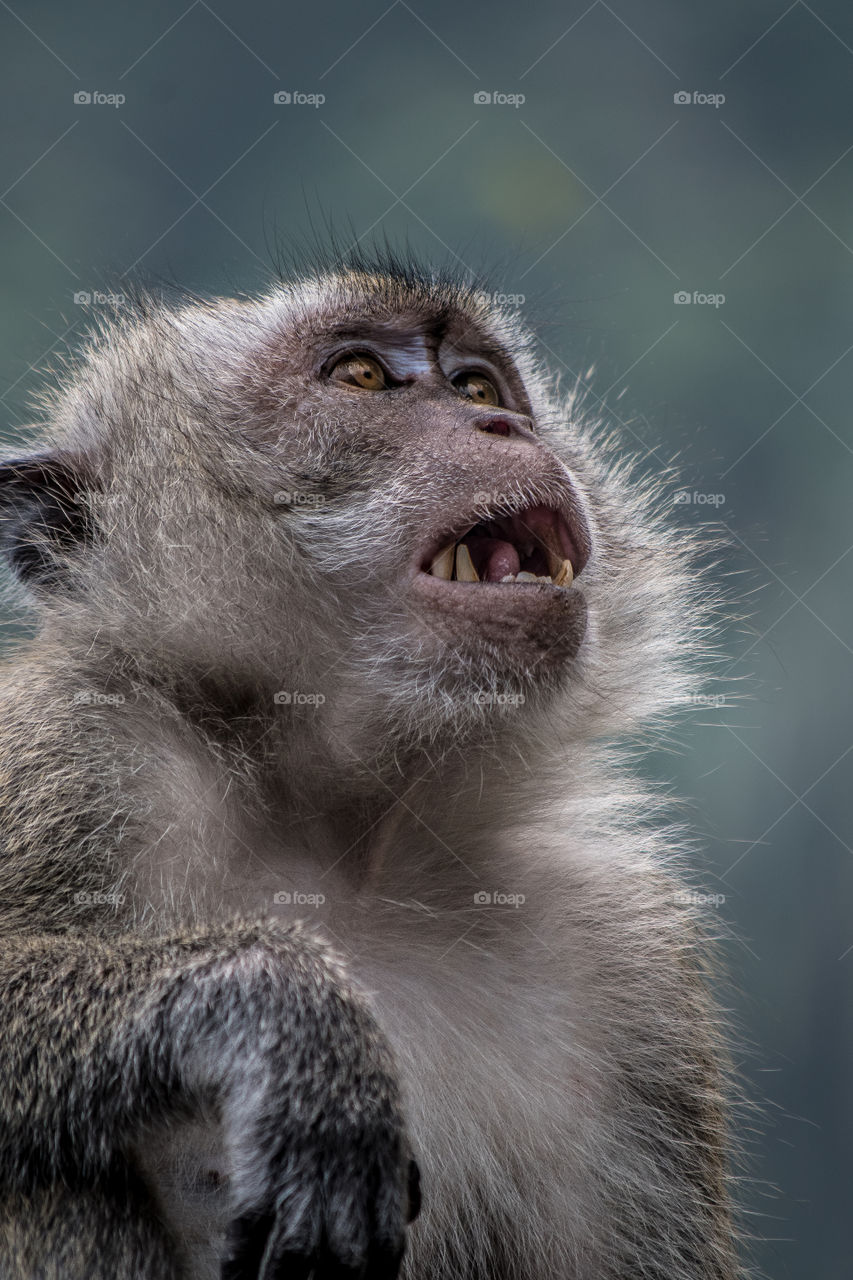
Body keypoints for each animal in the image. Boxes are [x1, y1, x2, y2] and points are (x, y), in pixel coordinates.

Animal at [0, 251, 740, 1280]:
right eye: (359, 376)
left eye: (476, 385)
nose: (502, 427)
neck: (343, 826)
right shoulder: (75, 756)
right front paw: (289, 1016)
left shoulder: (628, 960)